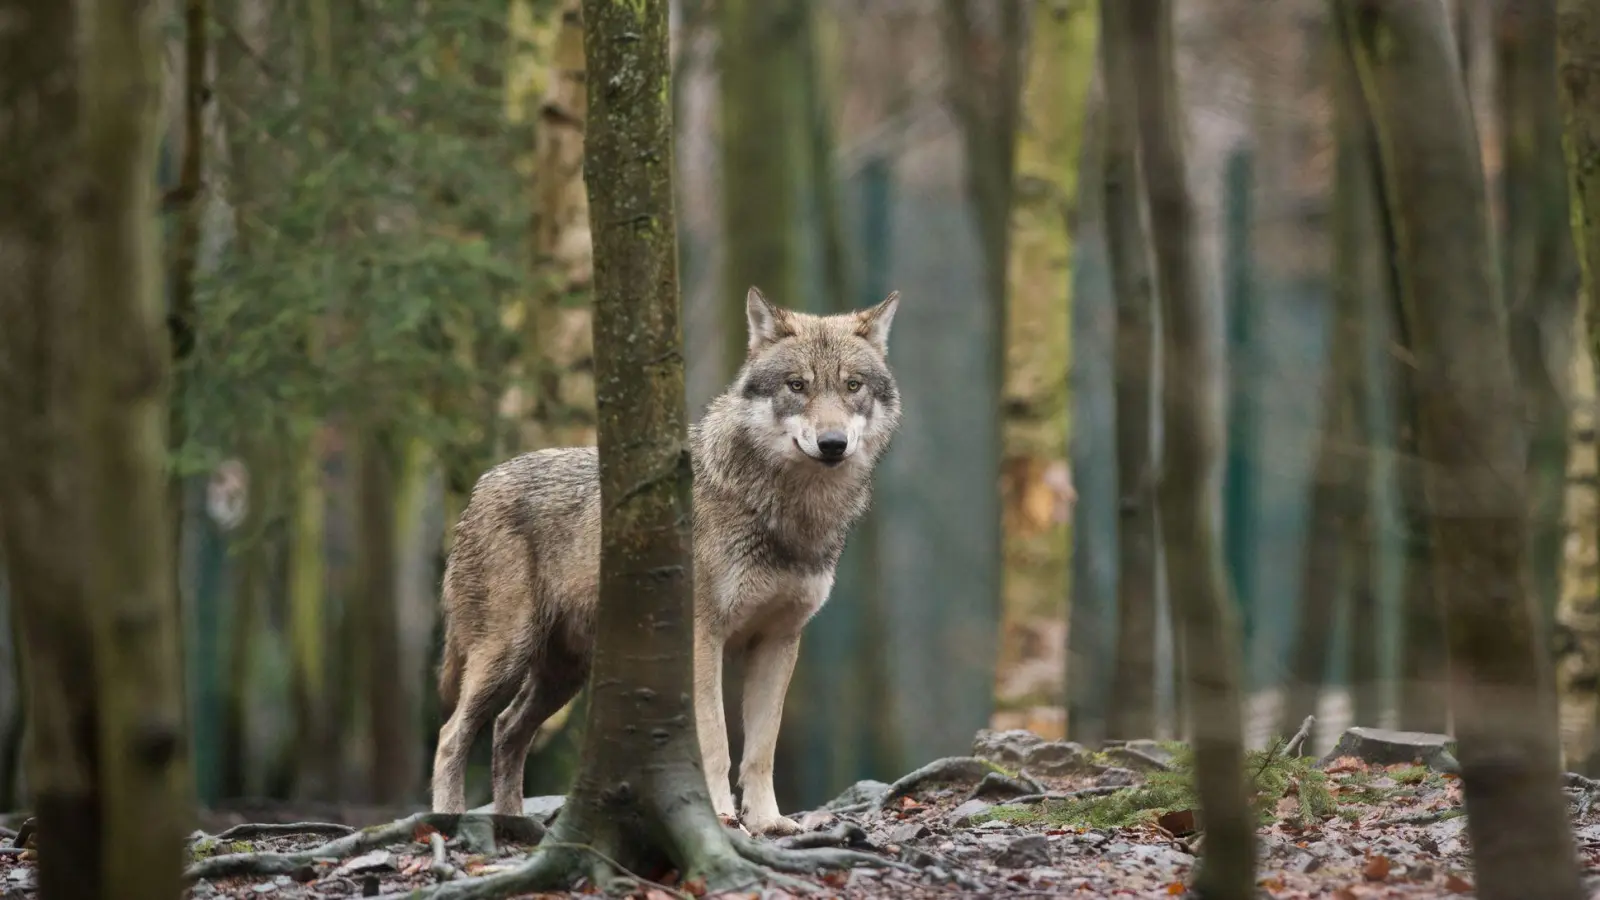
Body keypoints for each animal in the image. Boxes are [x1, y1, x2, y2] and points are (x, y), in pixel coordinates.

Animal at [425, 286, 902, 832]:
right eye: (797, 385)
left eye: (852, 386)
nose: (832, 443)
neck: (787, 513)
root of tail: (481, 485)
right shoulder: (703, 638)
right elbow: (715, 741)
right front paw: (719, 816)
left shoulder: (779, 641)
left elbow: (761, 749)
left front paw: (767, 822)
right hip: (506, 655)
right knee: (452, 735)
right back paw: (450, 821)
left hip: (564, 674)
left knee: (506, 731)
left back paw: (514, 824)